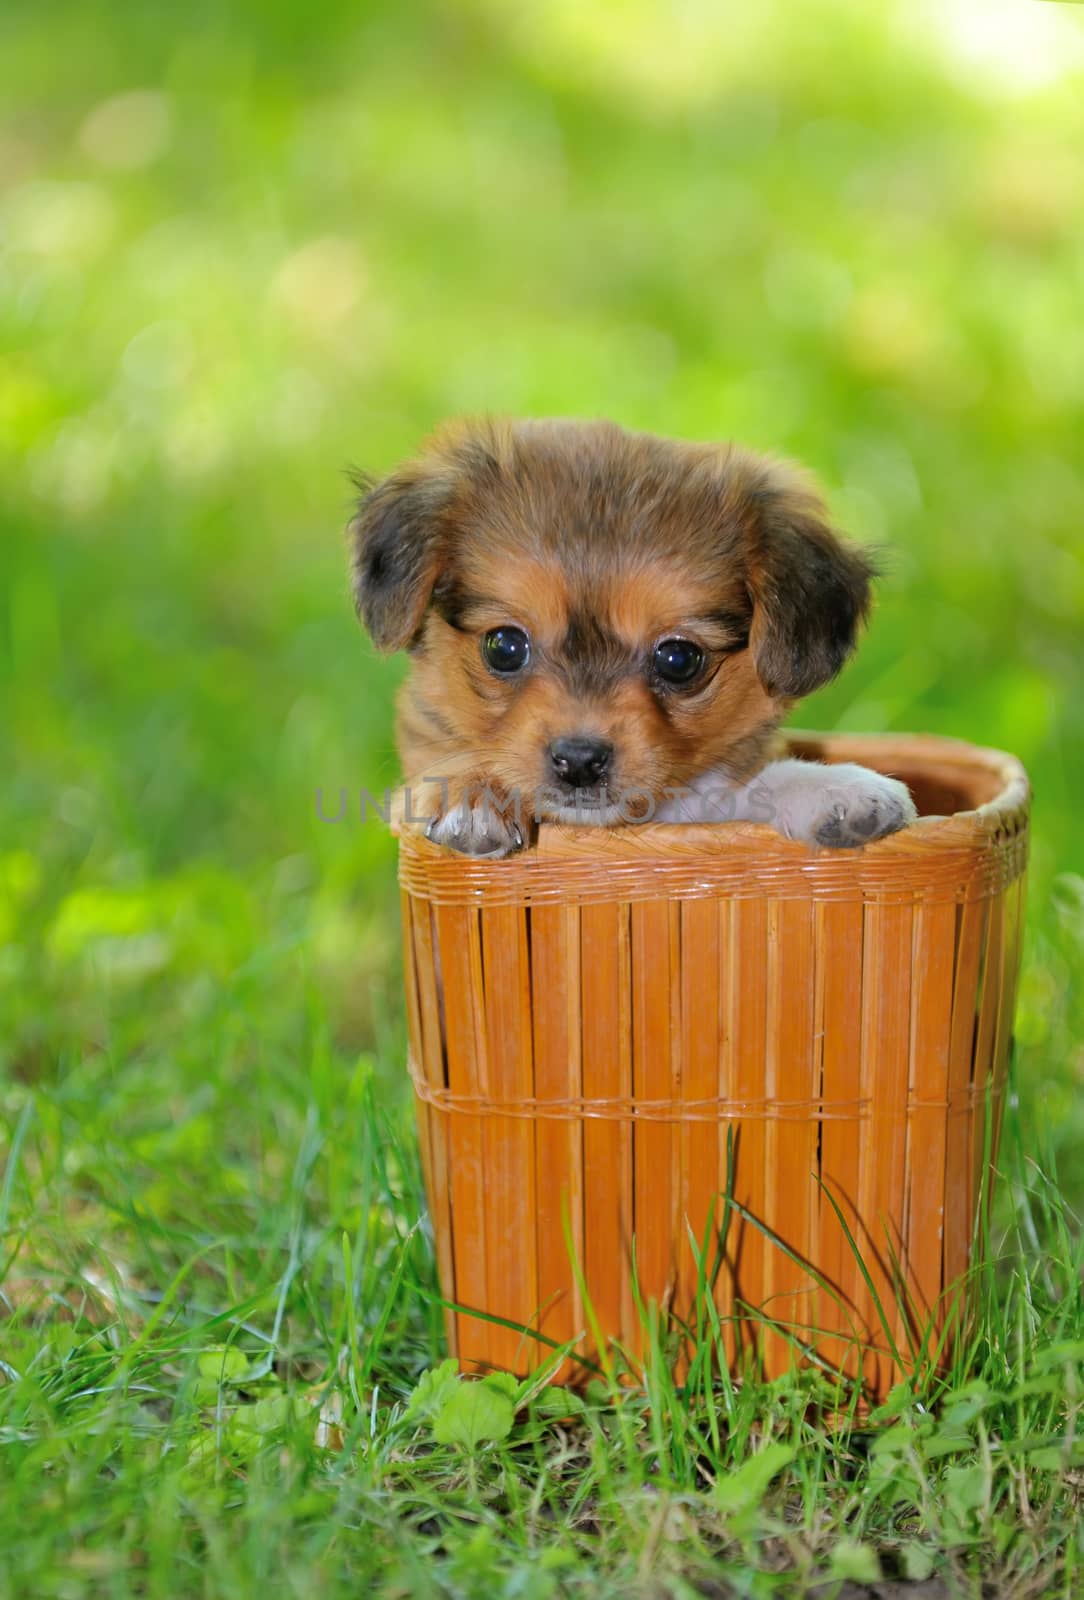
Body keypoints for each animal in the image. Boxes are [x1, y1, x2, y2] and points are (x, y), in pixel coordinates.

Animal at [350, 419, 914, 857]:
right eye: (504, 647)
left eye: (679, 659)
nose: (579, 761)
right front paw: (470, 794)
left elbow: (751, 786)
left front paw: (834, 787)